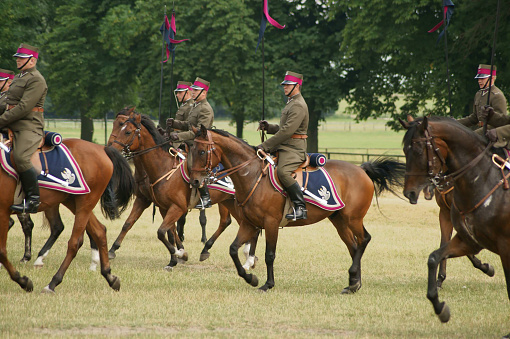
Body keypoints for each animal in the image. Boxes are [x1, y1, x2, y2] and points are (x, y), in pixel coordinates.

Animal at [0, 139, 134, 294]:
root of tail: (101, 148)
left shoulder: (3, 211)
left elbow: (2, 251)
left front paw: (23, 281)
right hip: (72, 201)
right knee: (99, 231)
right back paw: (109, 276)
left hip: (85, 202)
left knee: (74, 242)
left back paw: (52, 283)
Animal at [108, 111, 258, 270]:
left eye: (127, 131)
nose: (111, 148)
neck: (164, 167)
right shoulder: (155, 204)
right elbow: (136, 225)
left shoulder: (177, 207)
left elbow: (162, 232)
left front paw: (178, 254)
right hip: (230, 202)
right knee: (235, 223)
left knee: (236, 224)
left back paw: (246, 257)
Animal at [189, 126, 404, 294]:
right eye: (191, 150)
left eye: (201, 152)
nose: (196, 181)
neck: (252, 175)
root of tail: (361, 169)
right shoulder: (249, 224)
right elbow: (233, 249)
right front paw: (251, 278)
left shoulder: (271, 223)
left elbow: (269, 255)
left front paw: (268, 284)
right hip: (339, 220)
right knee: (354, 246)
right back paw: (353, 284)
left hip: (353, 218)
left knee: (364, 240)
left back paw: (353, 279)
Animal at [402, 115, 510, 338]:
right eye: (404, 151)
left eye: (417, 151)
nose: (410, 193)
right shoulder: (452, 221)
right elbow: (439, 250)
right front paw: (439, 289)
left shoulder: (504, 245)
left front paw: (485, 267)